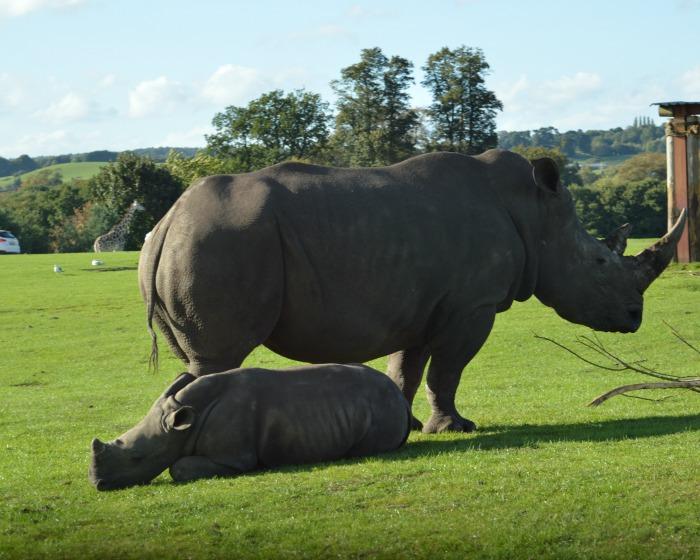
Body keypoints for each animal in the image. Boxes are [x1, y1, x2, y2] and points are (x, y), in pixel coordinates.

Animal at [90, 364, 412, 490]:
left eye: (137, 458)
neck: (185, 423)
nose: (97, 484)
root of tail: (400, 399)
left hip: (382, 407)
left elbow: (177, 468)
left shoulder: (234, 457)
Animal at [139, 150, 688, 434]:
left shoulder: (424, 304)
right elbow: (448, 369)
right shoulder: (472, 304)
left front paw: (402, 428)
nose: (634, 316)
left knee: (199, 361)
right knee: (219, 358)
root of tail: (168, 221)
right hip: (220, 242)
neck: (536, 211)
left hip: (186, 246)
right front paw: (455, 429)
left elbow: (407, 368)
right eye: (600, 263)